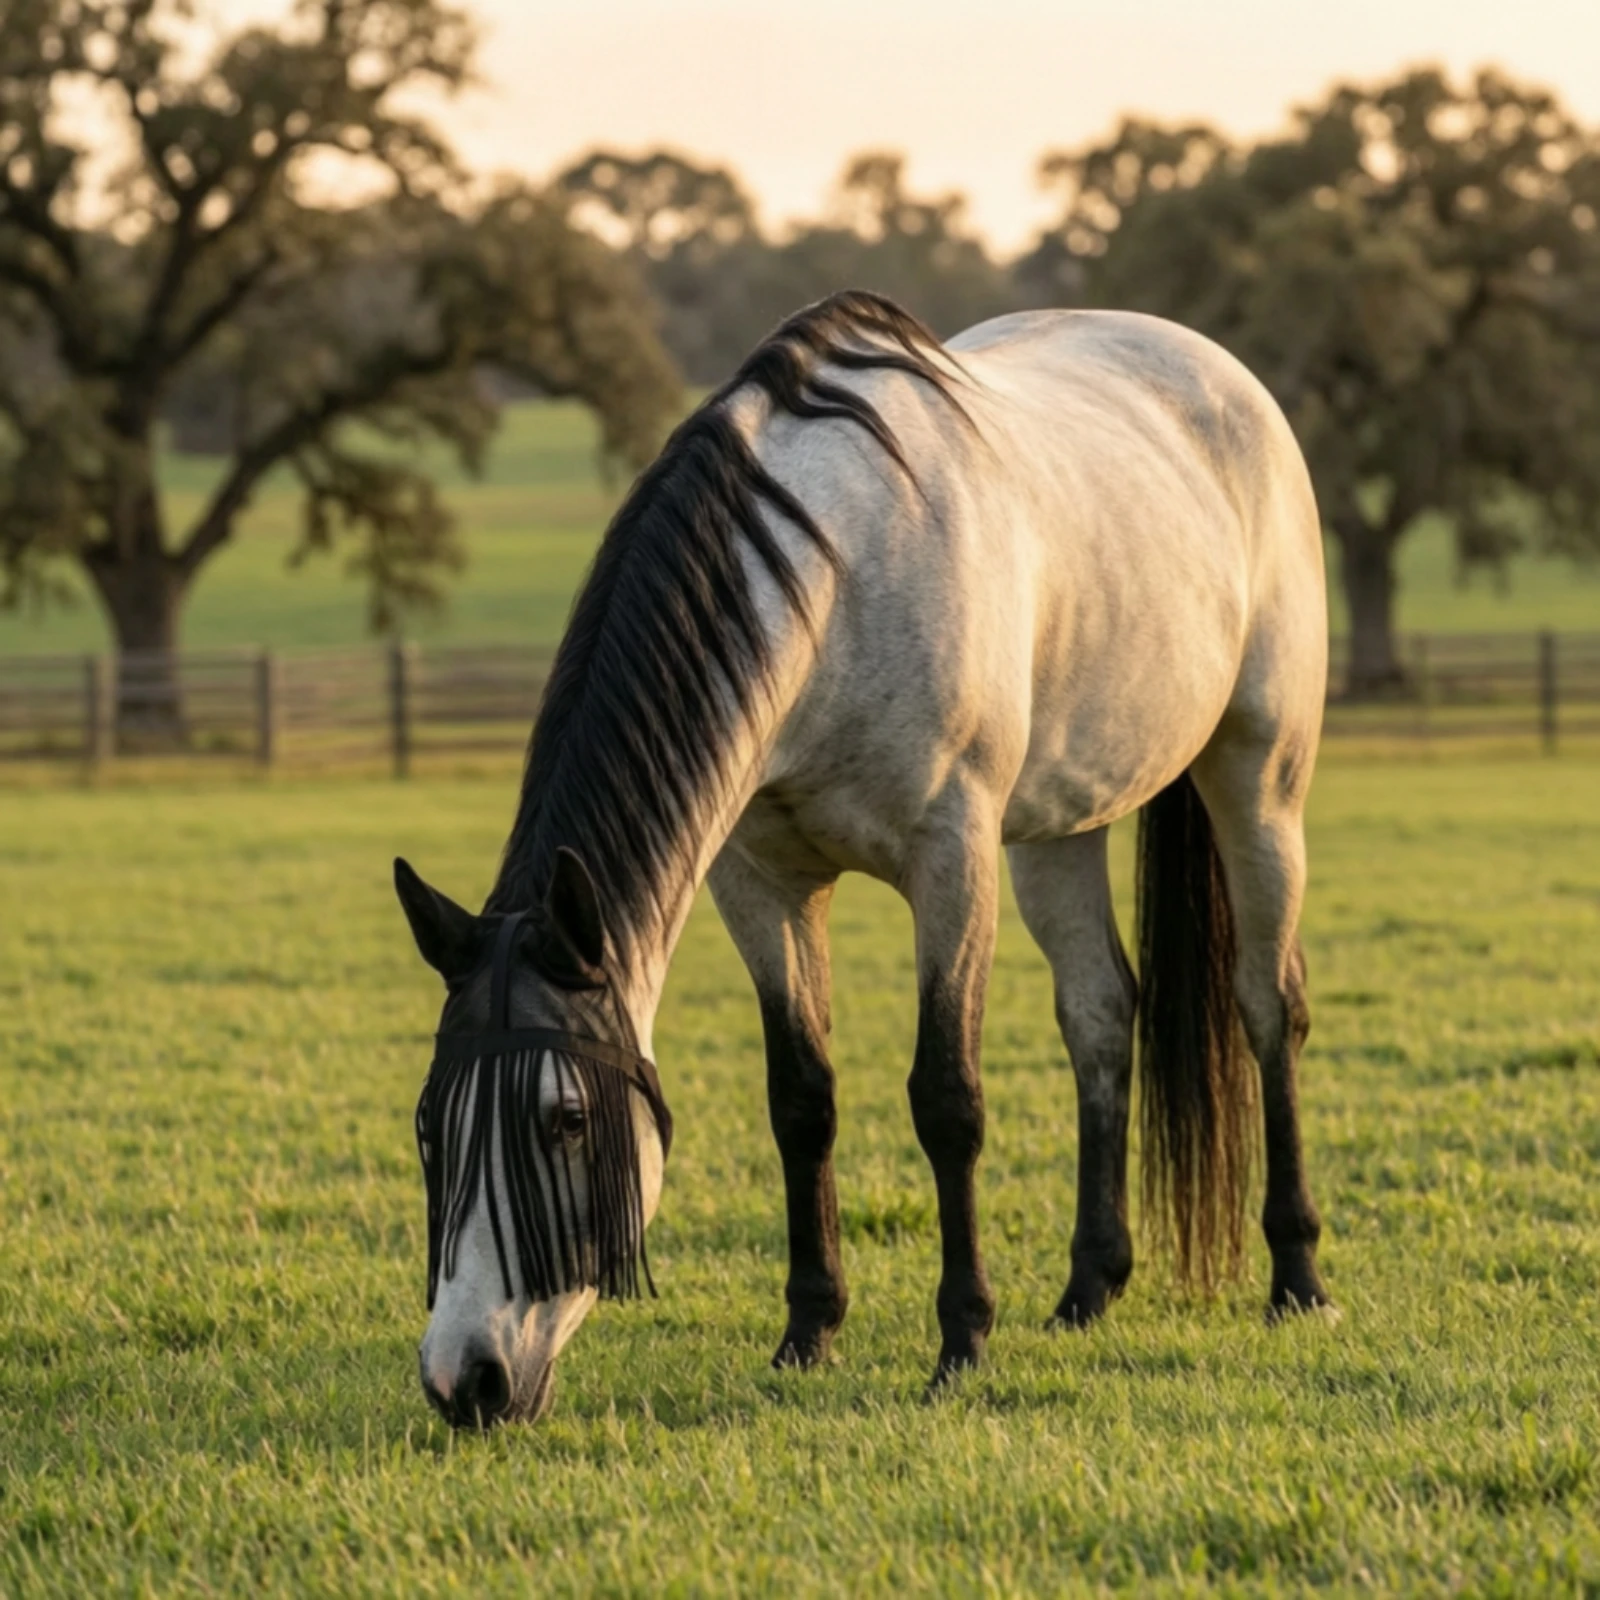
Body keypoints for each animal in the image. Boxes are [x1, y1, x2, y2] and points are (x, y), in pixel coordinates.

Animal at [394, 290, 1332, 1428]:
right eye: (431, 1127)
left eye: (566, 1120)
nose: (465, 1381)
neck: (828, 582)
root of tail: (1214, 368)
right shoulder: (762, 883)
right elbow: (801, 1100)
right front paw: (808, 1333)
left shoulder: (950, 862)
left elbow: (947, 1100)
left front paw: (961, 1342)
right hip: (1059, 830)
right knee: (1102, 1014)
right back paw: (1086, 1289)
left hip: (1260, 777)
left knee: (1265, 1003)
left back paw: (1296, 1276)